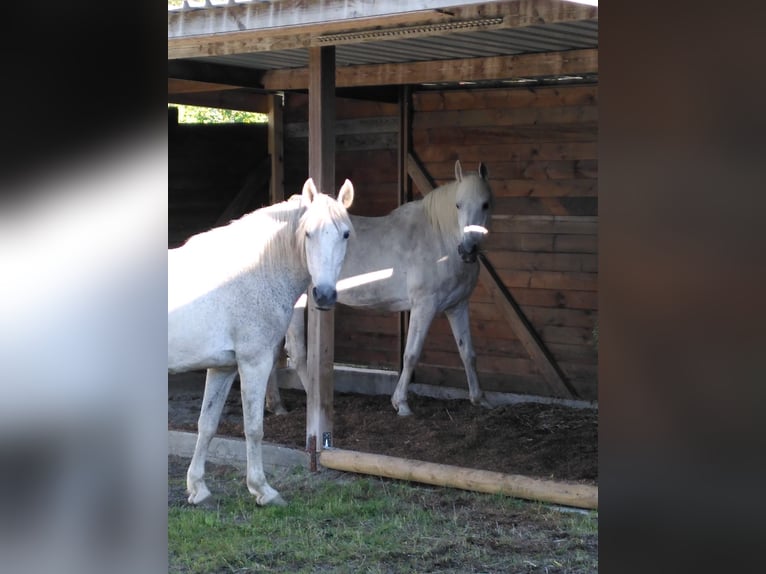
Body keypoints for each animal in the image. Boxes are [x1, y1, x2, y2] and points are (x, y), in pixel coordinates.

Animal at [168, 178, 354, 505]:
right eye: (308, 233)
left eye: (345, 233)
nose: (324, 295)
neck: (254, 273)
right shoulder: (254, 363)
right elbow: (254, 427)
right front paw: (263, 490)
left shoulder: (223, 367)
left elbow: (207, 424)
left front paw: (198, 488)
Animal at [270, 159, 493, 417]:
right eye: (458, 205)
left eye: (485, 204)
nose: (468, 249)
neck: (439, 239)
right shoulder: (424, 306)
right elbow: (411, 354)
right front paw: (401, 404)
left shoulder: (457, 307)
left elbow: (468, 354)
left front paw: (479, 398)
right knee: (297, 353)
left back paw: (276, 405)